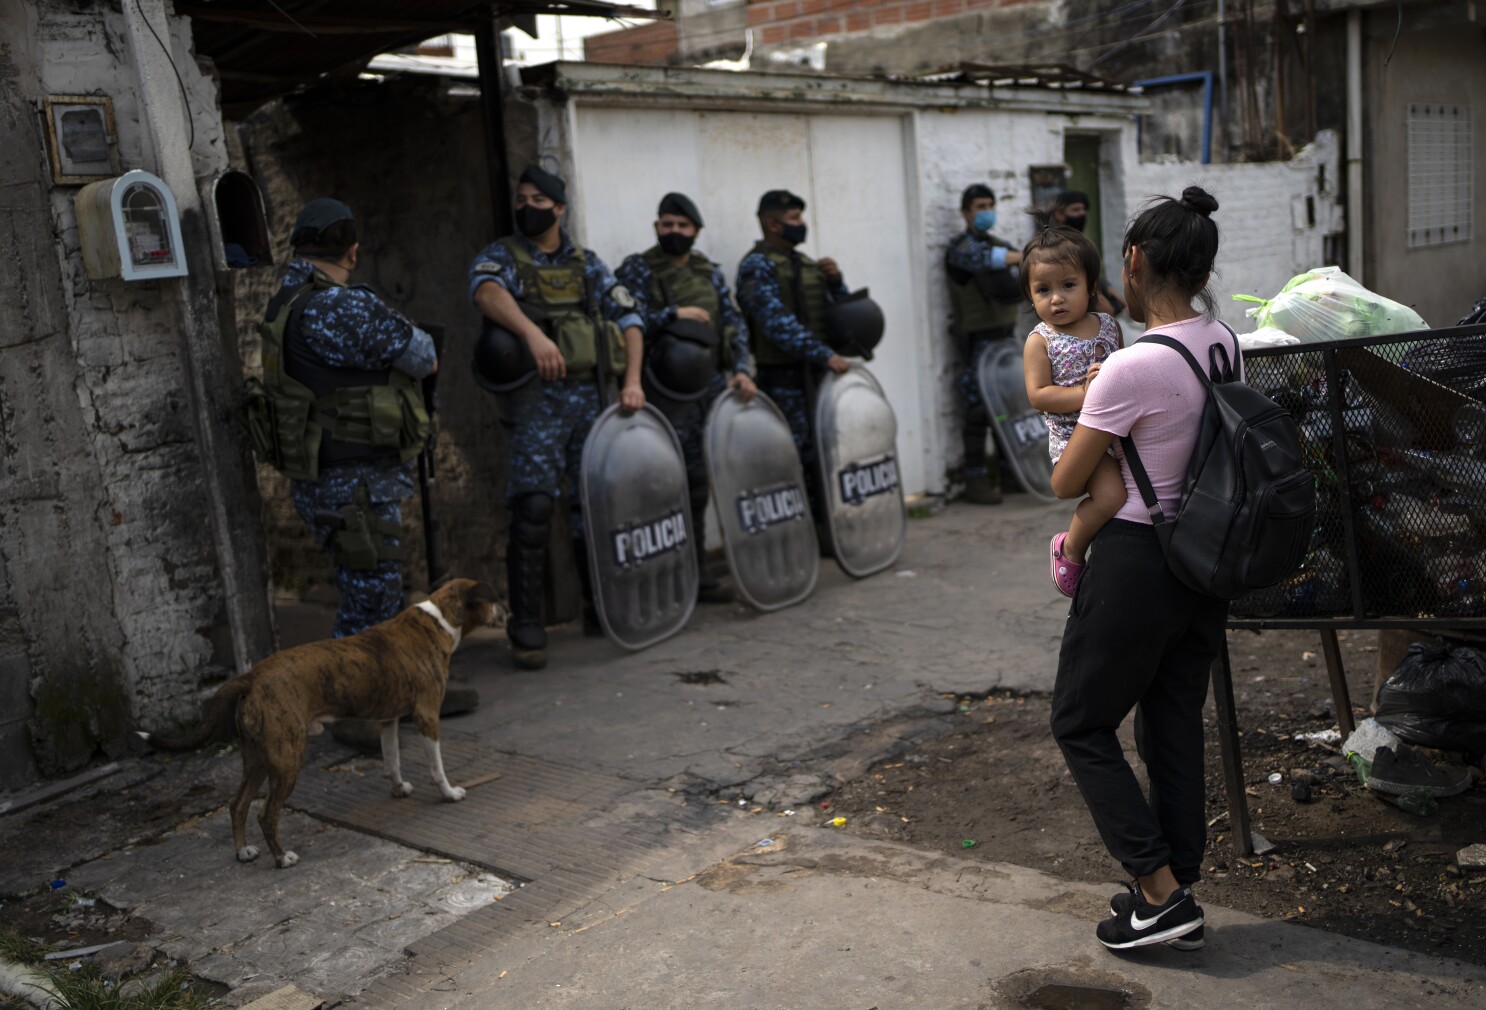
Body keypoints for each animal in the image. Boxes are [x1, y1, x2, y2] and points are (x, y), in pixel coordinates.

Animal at [144, 576, 505, 867]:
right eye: (495, 599)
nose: (508, 612)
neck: (439, 619)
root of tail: (252, 677)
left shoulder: (388, 719)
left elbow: (392, 760)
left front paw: (398, 788)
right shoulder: (428, 715)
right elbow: (436, 767)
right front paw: (449, 792)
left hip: (258, 756)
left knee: (237, 803)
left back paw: (243, 851)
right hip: (287, 757)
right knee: (266, 812)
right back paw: (282, 858)